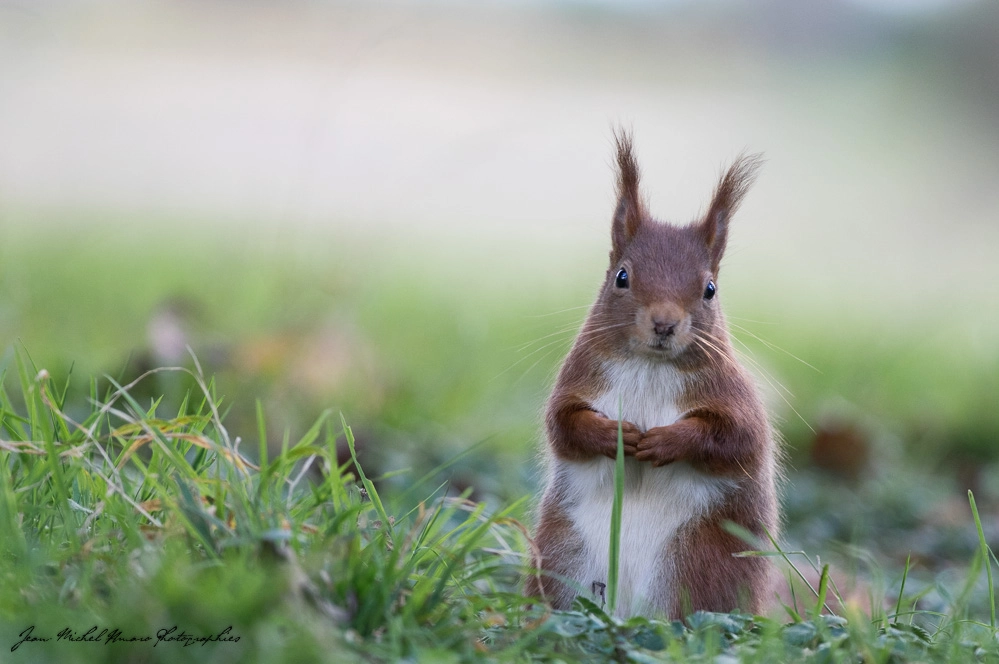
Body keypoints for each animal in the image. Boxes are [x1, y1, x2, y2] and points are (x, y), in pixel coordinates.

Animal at [528, 132, 776, 620]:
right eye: (622, 277)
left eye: (710, 289)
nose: (664, 323)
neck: (650, 365)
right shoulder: (578, 379)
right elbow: (563, 425)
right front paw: (613, 436)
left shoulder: (733, 396)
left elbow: (737, 438)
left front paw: (666, 441)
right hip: (563, 552)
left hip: (694, 562)